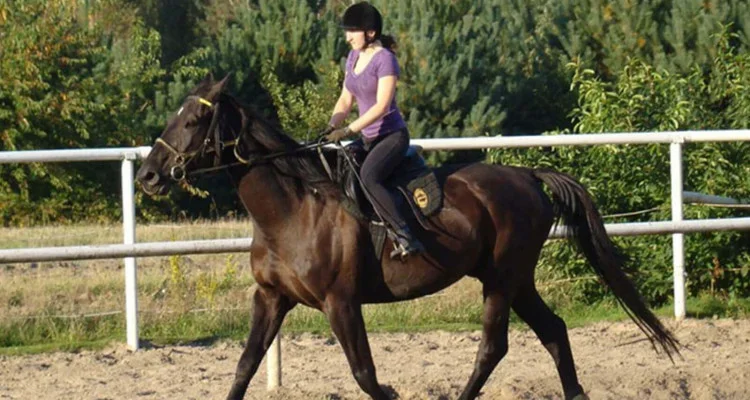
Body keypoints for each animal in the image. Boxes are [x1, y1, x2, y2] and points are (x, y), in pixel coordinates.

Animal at [136, 75, 679, 400]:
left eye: (194, 120)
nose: (147, 175)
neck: (295, 210)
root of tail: (526, 175)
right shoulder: (271, 298)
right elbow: (245, 366)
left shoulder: (340, 302)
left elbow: (366, 375)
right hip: (516, 280)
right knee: (554, 331)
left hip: (502, 280)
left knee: (493, 347)